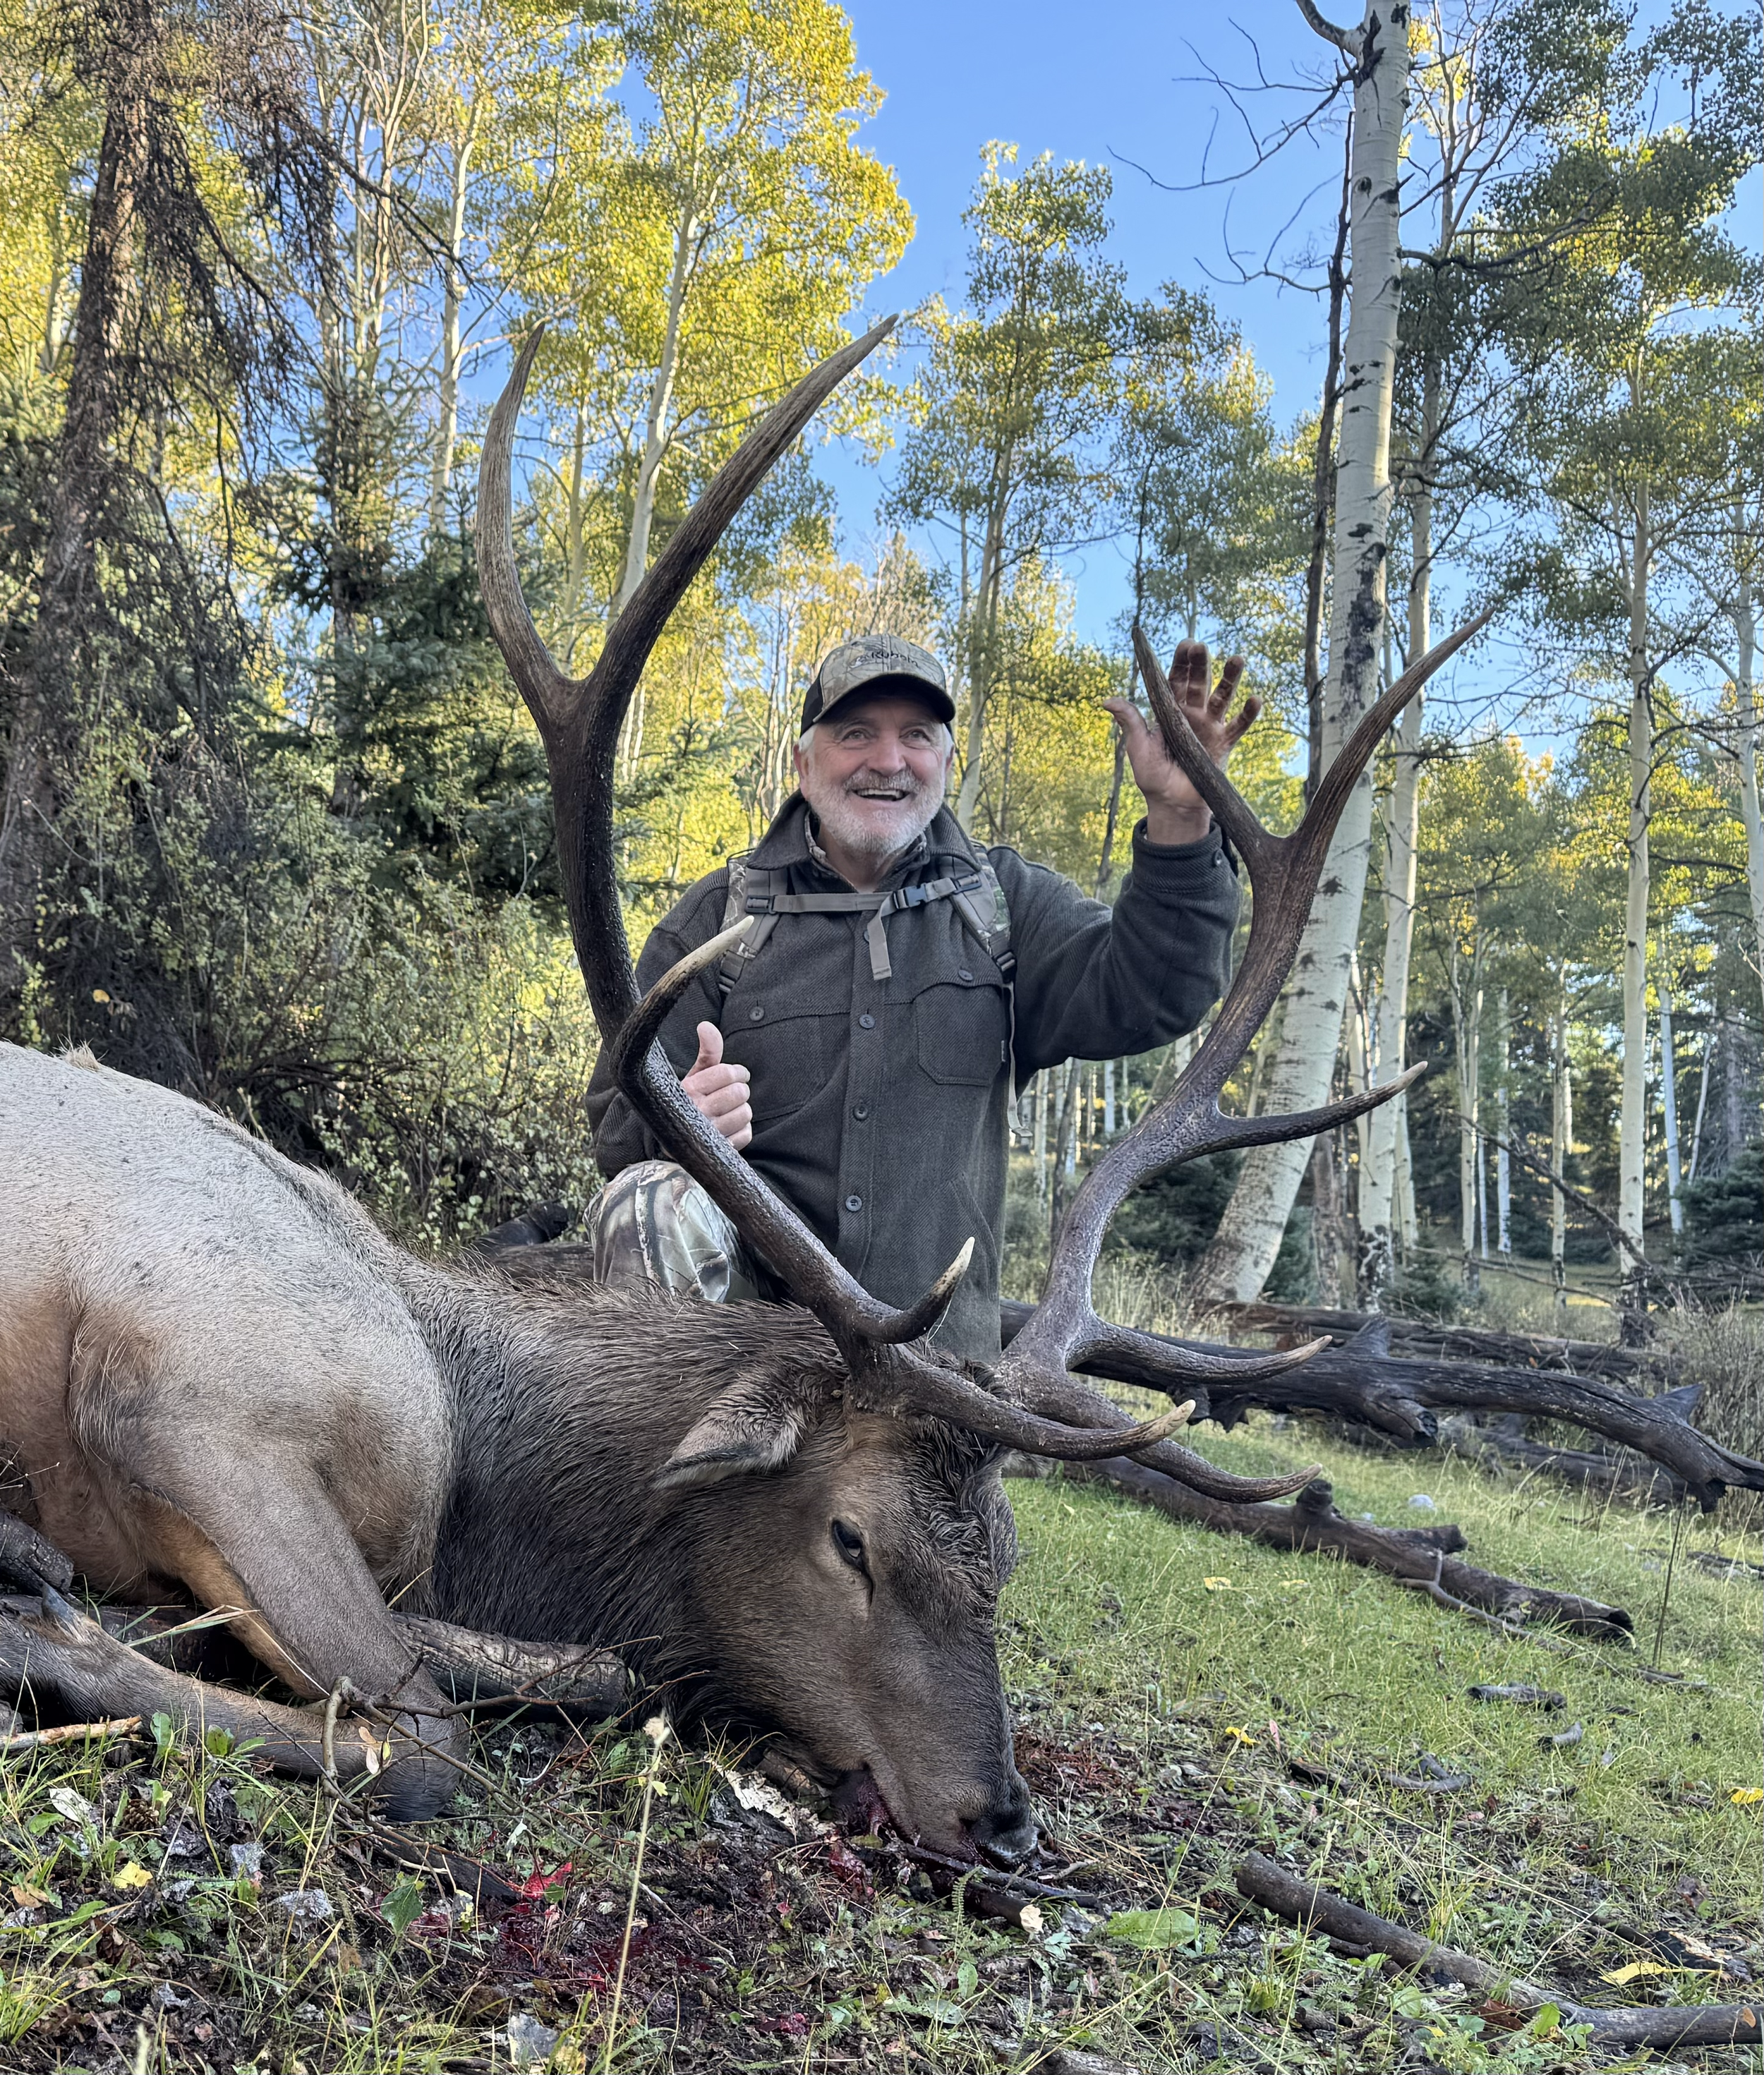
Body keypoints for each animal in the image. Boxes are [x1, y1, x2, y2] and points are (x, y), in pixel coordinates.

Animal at [0, 315, 1486, 1863]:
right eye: (850, 1539)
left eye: (1006, 1557)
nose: (1001, 1820)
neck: (477, 1486)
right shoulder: (195, 1403)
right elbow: (427, 1736)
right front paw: (49, 1622)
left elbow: (569, 1674)